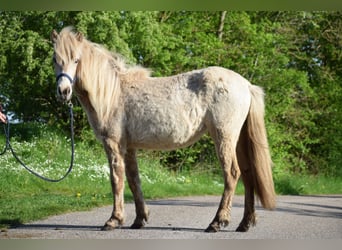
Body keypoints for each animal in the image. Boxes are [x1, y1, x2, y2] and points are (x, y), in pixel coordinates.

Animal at [50, 27, 276, 232]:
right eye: (55, 59)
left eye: (76, 60)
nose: (63, 91)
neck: (113, 92)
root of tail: (246, 85)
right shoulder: (129, 147)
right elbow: (134, 180)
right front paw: (139, 219)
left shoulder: (113, 144)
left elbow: (116, 179)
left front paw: (114, 220)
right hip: (239, 140)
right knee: (248, 175)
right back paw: (244, 224)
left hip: (224, 137)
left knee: (232, 174)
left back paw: (217, 222)